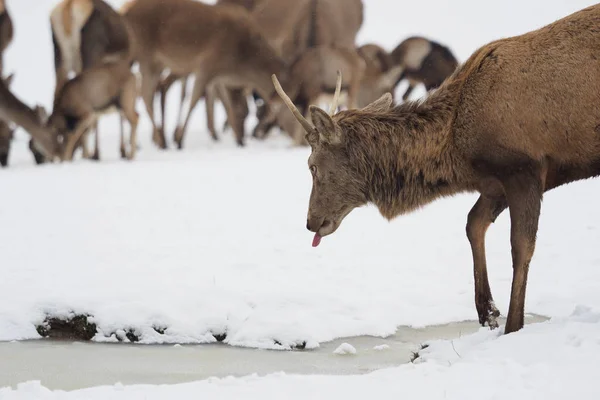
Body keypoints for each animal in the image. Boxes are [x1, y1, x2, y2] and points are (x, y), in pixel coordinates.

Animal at [274, 3, 600, 334]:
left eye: (312, 166)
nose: (311, 222)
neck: (458, 149)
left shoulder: (525, 167)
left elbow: (521, 246)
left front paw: (513, 325)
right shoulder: (495, 182)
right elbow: (473, 224)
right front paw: (487, 311)